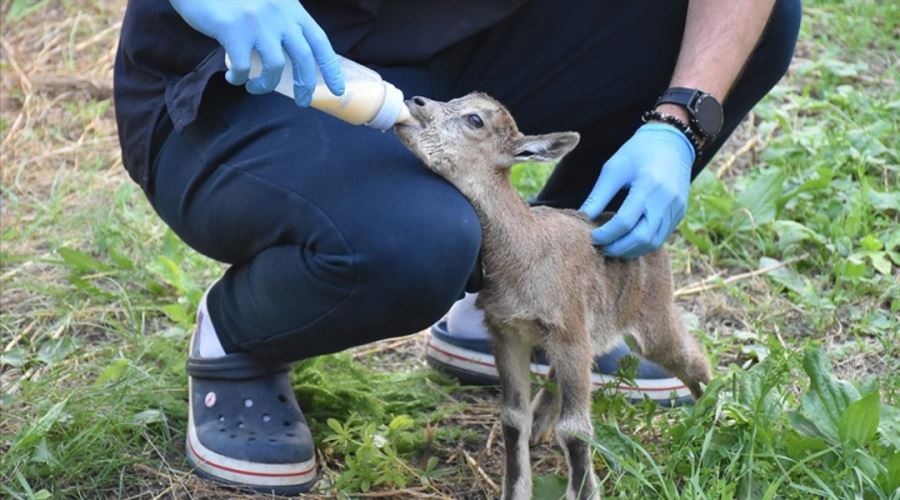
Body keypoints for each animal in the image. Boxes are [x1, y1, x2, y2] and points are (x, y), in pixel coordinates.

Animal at [396, 94, 712, 500]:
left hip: (652, 314)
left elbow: (576, 428)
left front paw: (585, 492)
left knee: (689, 356)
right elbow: (512, 417)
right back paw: (541, 423)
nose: (416, 101)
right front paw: (516, 490)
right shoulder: (508, 331)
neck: (523, 252)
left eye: (474, 120)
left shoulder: (568, 329)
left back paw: (715, 414)